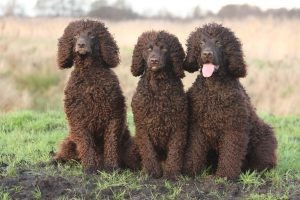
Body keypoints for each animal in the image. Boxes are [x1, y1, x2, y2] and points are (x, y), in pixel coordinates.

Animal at [53, 19, 138, 174]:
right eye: (75, 35)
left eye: (91, 35)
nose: (81, 44)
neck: (89, 73)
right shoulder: (78, 121)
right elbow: (86, 144)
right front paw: (90, 168)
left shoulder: (113, 117)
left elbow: (111, 143)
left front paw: (111, 167)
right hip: (70, 141)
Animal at [131, 30, 188, 178]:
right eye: (149, 48)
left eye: (164, 48)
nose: (154, 61)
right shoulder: (142, 127)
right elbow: (148, 151)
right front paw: (151, 172)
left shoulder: (178, 126)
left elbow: (175, 151)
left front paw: (172, 173)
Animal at [180, 23, 276, 180]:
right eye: (201, 43)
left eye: (219, 42)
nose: (207, 54)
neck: (214, 89)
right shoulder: (197, 128)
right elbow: (194, 150)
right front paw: (190, 172)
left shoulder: (234, 129)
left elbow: (230, 154)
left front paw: (225, 176)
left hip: (263, 139)